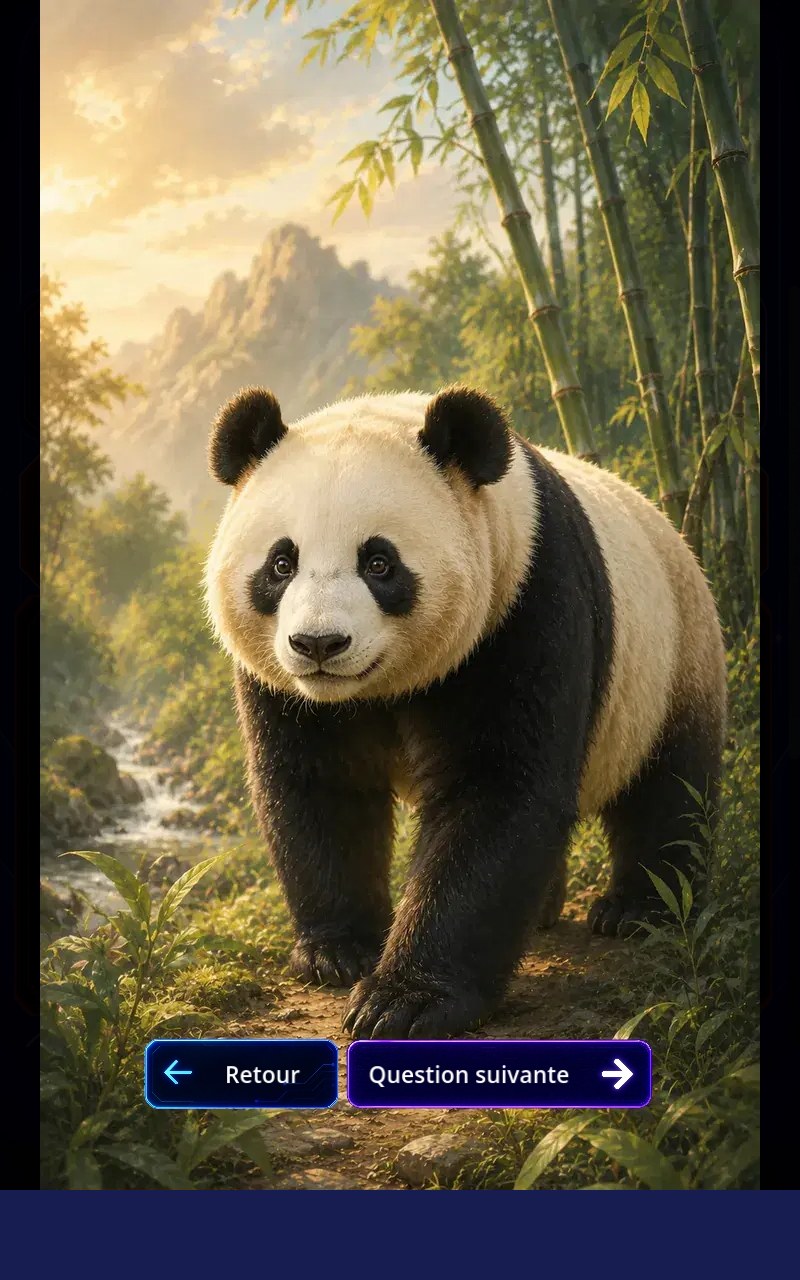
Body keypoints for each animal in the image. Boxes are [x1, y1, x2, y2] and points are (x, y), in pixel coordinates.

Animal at [205, 385, 727, 1040]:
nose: (319, 644)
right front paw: (338, 951)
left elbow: (498, 791)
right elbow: (320, 788)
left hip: (672, 656)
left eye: (379, 563)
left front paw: (405, 1000)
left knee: (669, 786)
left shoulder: (522, 604)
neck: (379, 687)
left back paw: (637, 907)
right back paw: (548, 908)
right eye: (281, 564)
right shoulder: (287, 689)